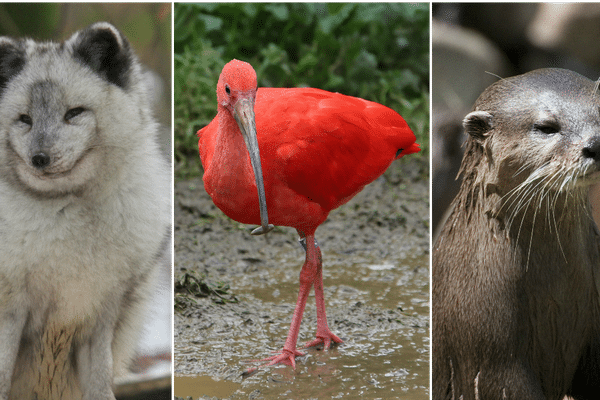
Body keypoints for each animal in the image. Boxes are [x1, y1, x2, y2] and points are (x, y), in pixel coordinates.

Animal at [0, 22, 171, 400]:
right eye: (24, 120)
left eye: (74, 113)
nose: (39, 158)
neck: (65, 211)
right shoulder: (12, 311)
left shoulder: (100, 314)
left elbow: (100, 381)